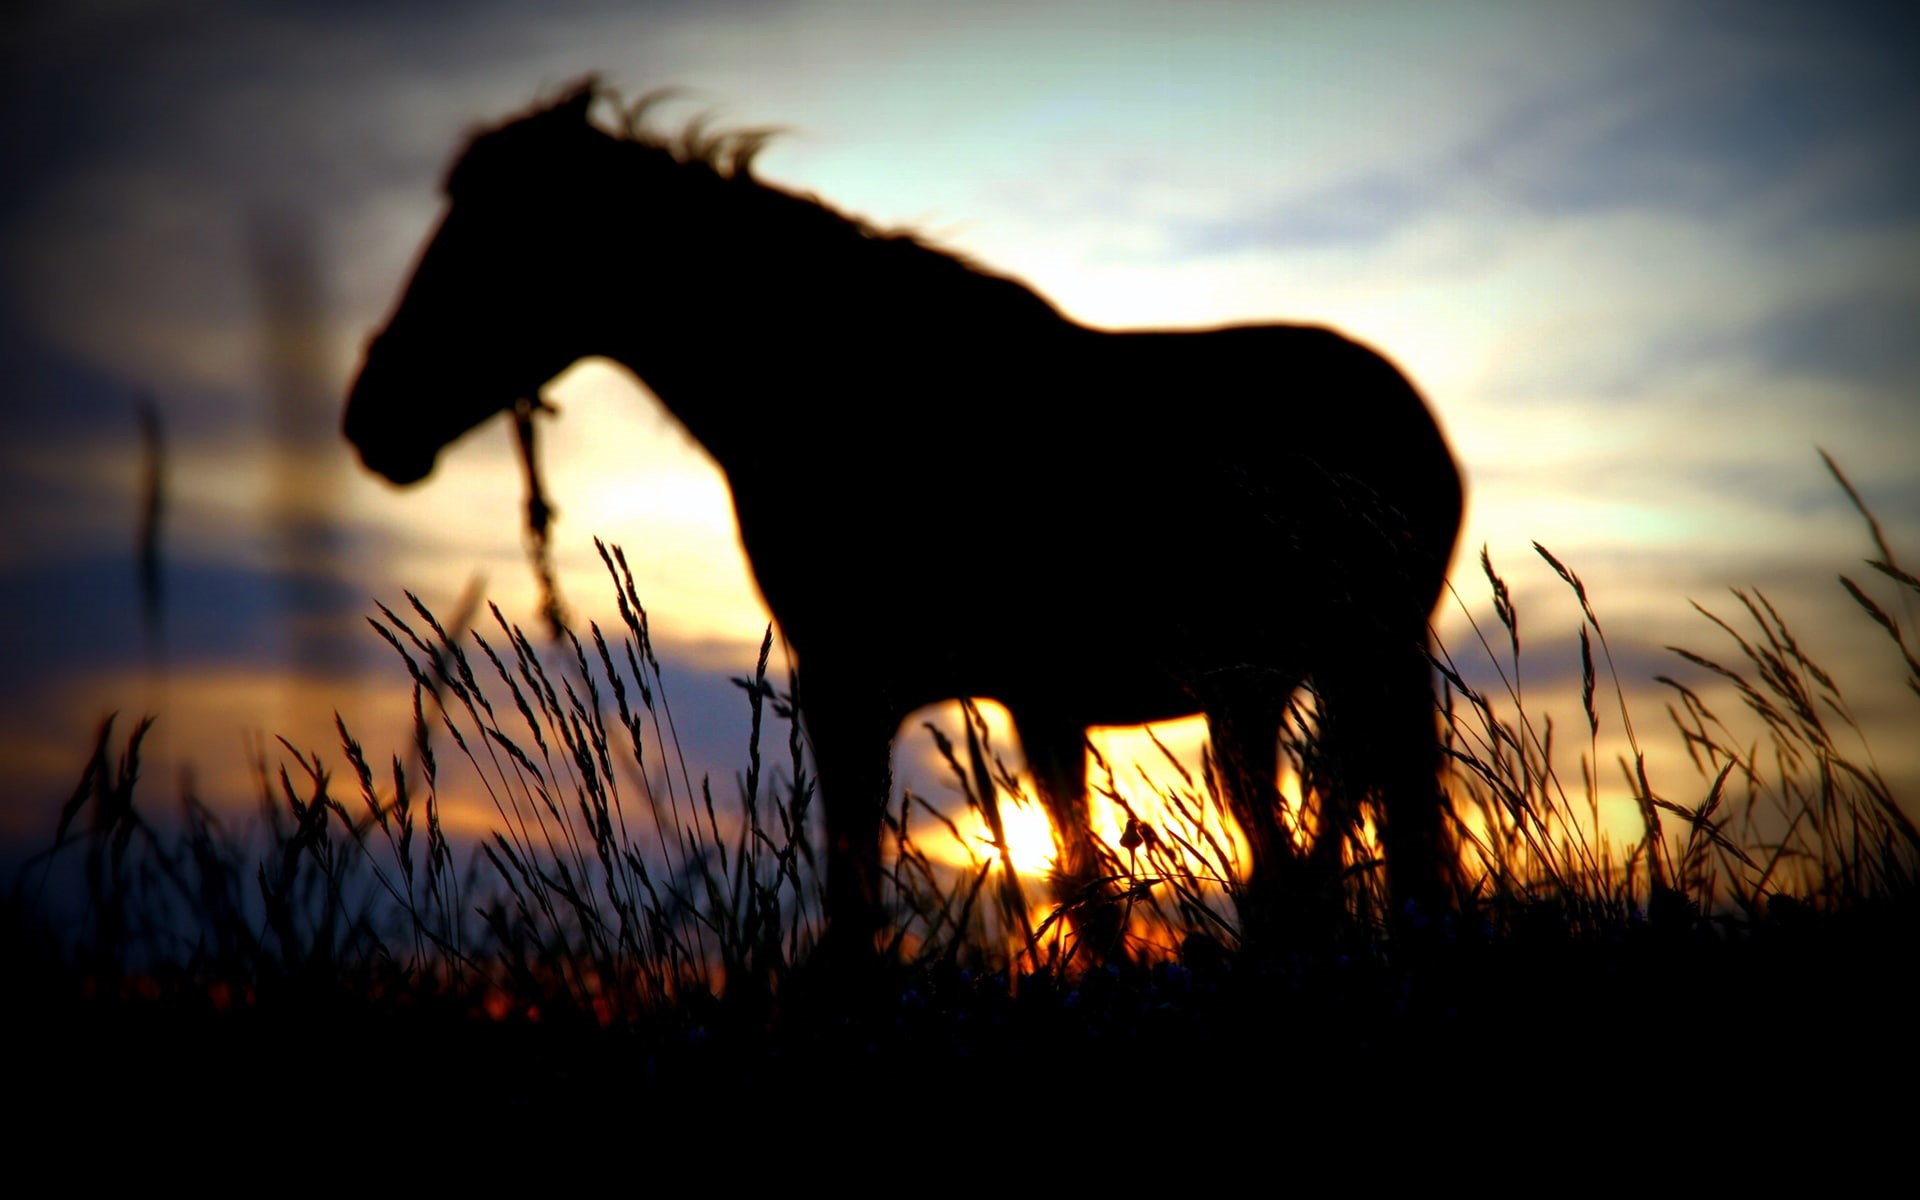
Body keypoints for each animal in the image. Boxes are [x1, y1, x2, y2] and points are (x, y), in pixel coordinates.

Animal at [343, 79, 1466, 962]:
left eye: (489, 238)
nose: (370, 420)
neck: (874, 394)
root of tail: (1409, 412)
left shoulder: (859, 685)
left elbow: (873, 912)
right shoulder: (1018, 702)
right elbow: (1077, 895)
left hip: (1350, 670)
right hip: (1276, 691)